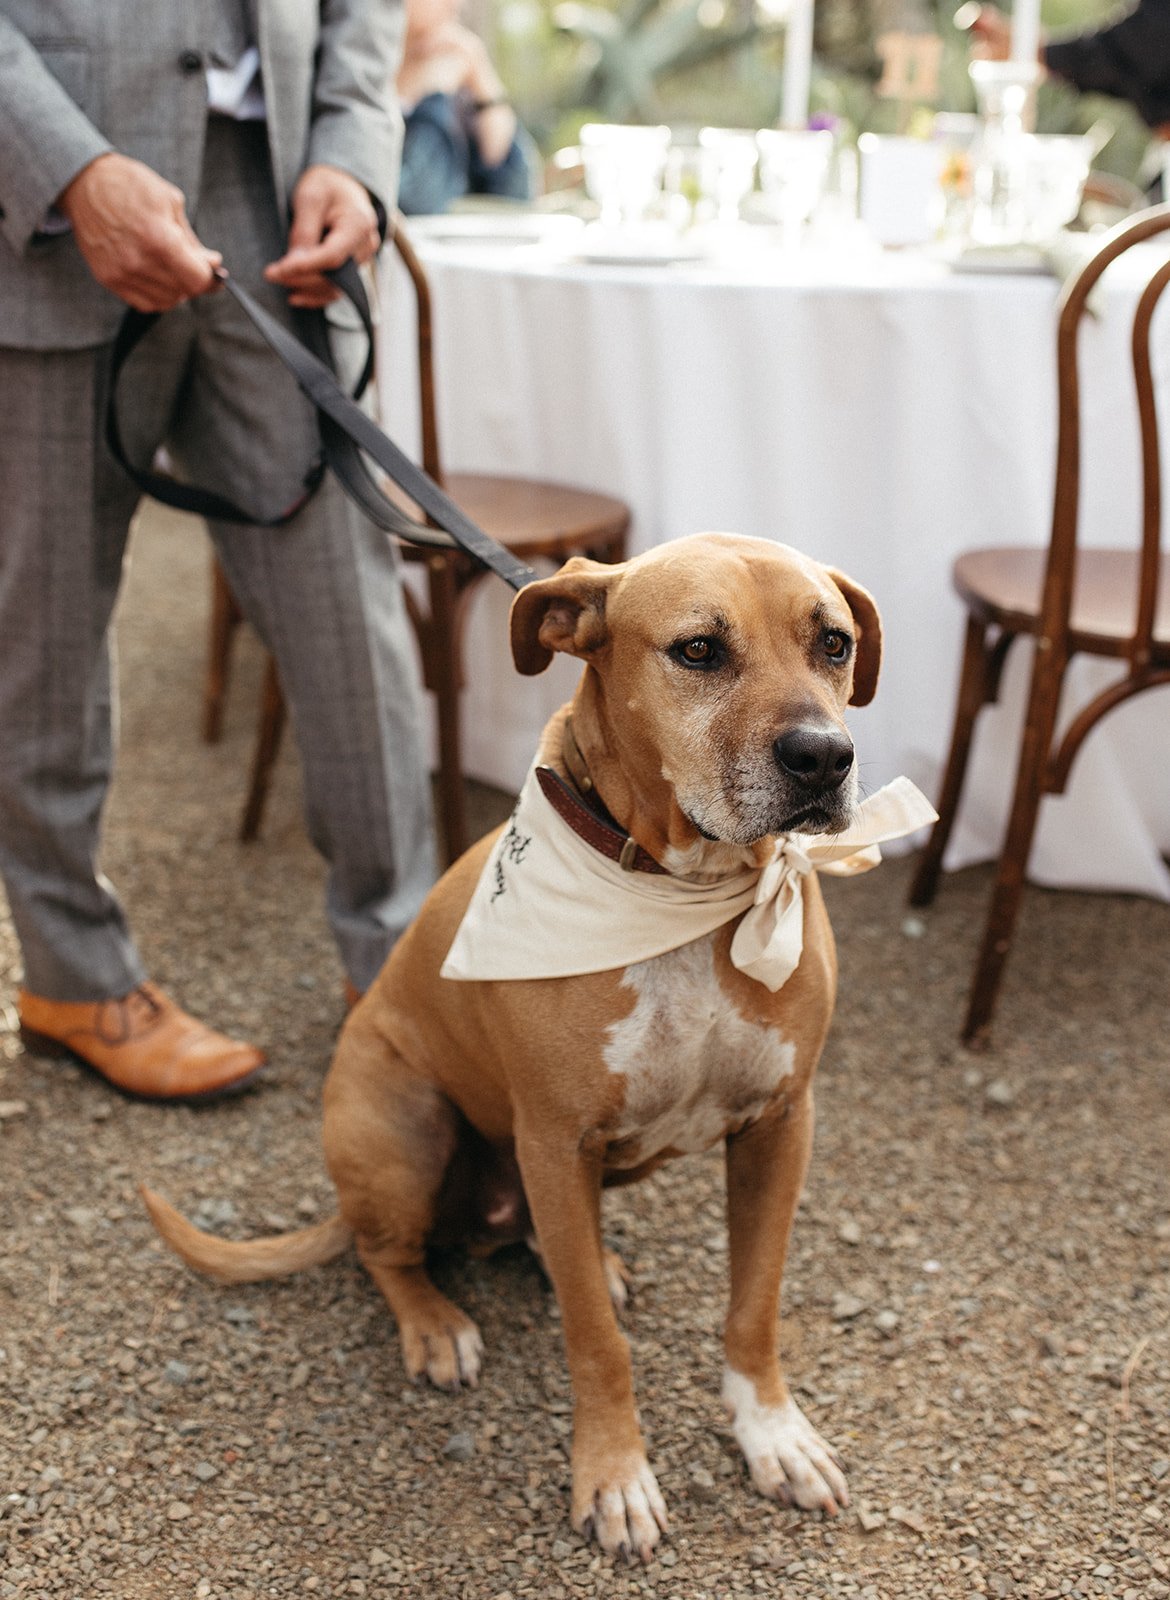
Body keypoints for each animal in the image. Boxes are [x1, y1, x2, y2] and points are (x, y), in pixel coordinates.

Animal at [144, 534, 877, 1561]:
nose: (824, 757)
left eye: (834, 643)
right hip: (404, 1128)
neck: (681, 897)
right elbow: (596, 1347)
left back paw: (589, 1264)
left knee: (539, 1236)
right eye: (698, 650)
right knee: (385, 1253)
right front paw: (615, 1478)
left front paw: (771, 1434)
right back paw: (436, 1324)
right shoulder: (557, 1139)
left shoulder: (779, 1125)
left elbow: (755, 1305)